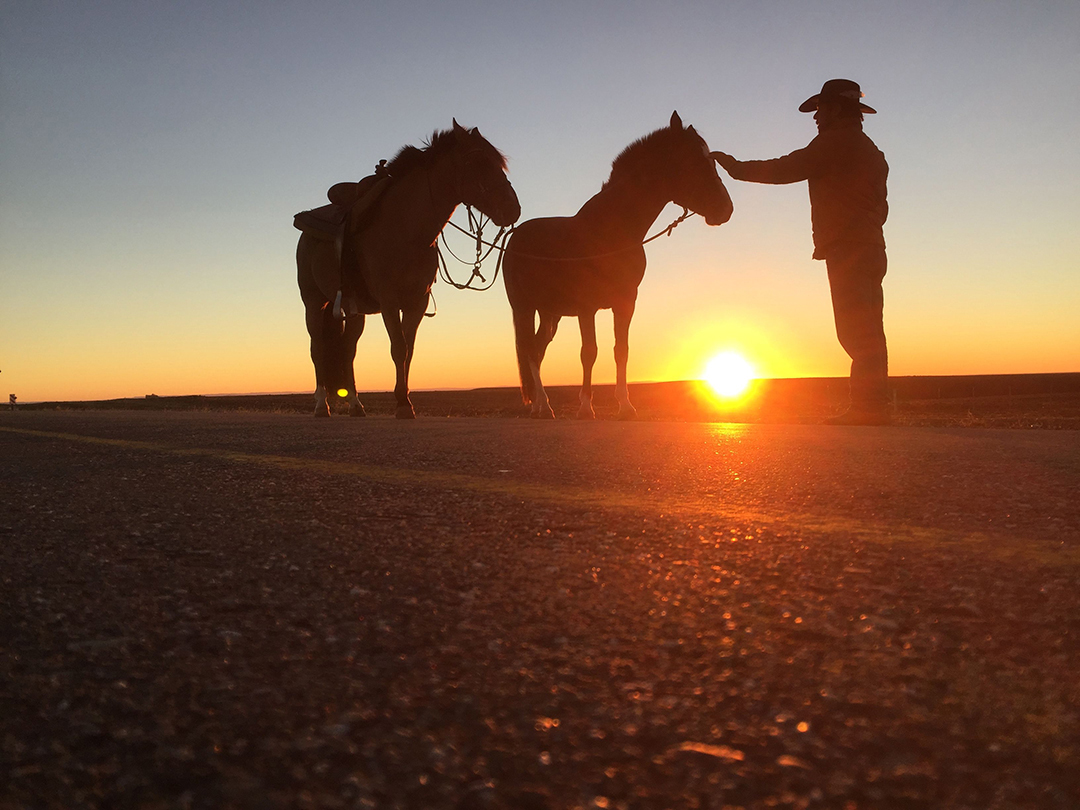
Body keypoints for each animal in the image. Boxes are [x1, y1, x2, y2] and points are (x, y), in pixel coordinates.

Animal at [293, 125, 516, 425]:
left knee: (348, 352)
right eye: (478, 162)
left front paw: (406, 401)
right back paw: (321, 405)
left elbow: (408, 351)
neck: (406, 229)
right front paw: (401, 404)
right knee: (317, 349)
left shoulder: (416, 303)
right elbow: (397, 348)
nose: (513, 209)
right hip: (315, 302)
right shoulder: (389, 302)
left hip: (354, 310)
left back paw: (355, 405)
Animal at [503, 111, 734, 421]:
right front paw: (585, 407)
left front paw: (625, 406)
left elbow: (621, 350)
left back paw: (541, 405)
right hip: (524, 307)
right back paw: (544, 405)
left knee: (538, 351)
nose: (725, 209)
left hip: (551, 313)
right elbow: (589, 352)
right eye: (692, 161)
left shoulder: (626, 302)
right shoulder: (586, 307)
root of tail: (515, 237)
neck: (611, 232)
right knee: (529, 350)